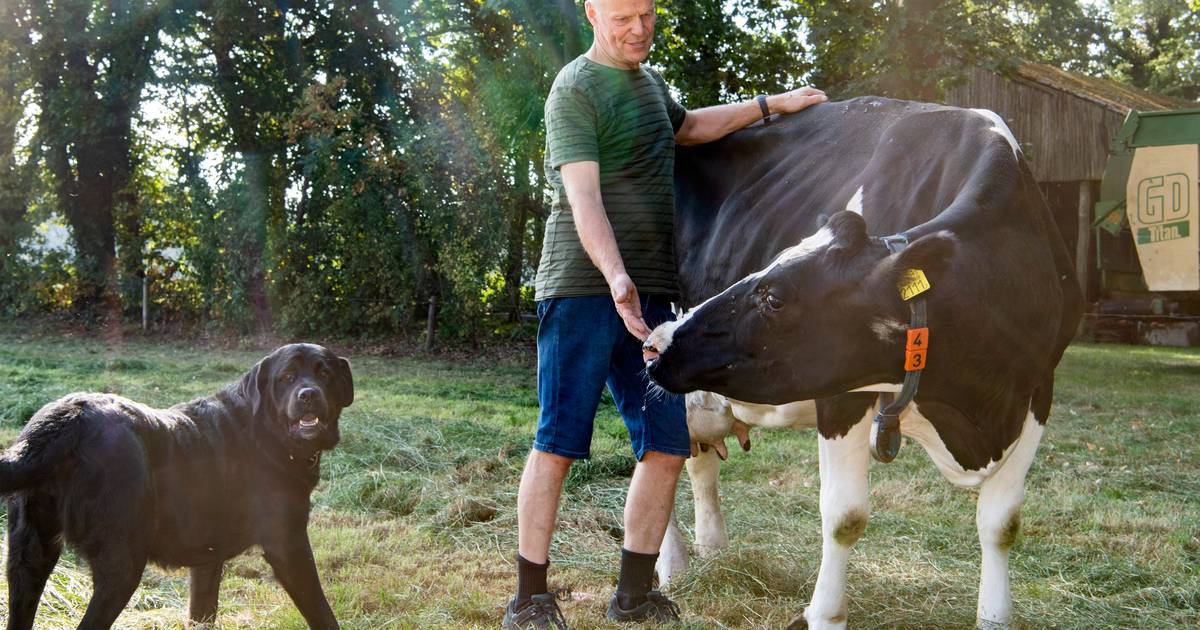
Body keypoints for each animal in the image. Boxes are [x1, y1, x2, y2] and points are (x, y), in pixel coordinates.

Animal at [642, 97, 1084, 629]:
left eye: (774, 297)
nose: (657, 343)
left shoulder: (1038, 388)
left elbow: (1002, 522)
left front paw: (995, 617)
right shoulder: (841, 393)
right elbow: (845, 517)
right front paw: (824, 614)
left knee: (696, 458)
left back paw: (714, 552)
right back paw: (672, 567)